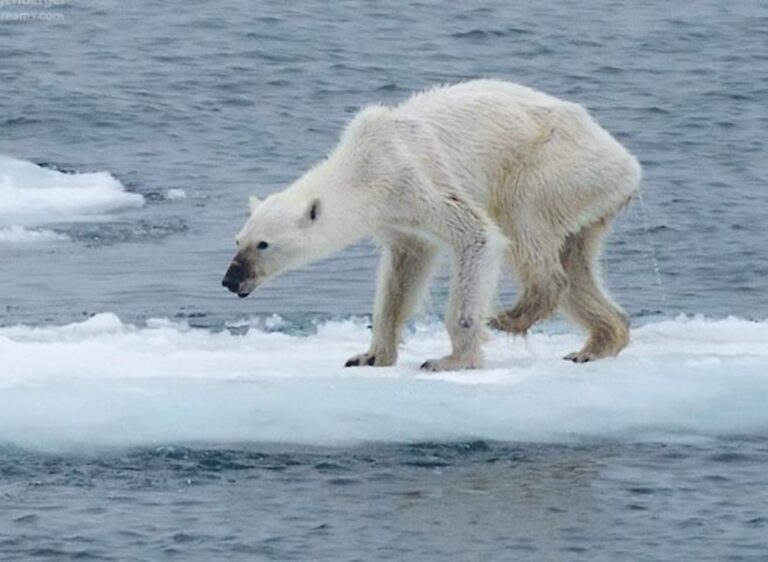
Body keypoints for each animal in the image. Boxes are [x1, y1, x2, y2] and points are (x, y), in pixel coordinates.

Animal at [224, 77, 640, 368]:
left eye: (263, 244)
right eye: (238, 240)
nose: (231, 280)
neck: (365, 164)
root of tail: (628, 163)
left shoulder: (415, 179)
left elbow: (478, 237)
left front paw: (451, 360)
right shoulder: (397, 219)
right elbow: (402, 273)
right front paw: (369, 355)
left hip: (555, 167)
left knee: (525, 221)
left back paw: (511, 316)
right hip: (588, 197)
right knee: (576, 262)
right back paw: (596, 344)